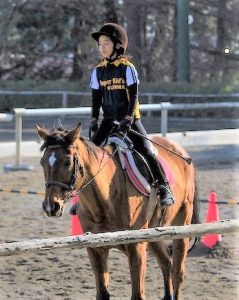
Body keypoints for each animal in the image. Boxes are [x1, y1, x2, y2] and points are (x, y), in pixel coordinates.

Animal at [36, 122, 200, 300]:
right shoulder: (95, 249)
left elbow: (137, 294)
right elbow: (103, 293)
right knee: (166, 262)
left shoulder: (136, 246)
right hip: (154, 233)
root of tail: (182, 153)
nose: (51, 206)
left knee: (177, 272)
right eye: (42, 162)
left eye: (67, 162)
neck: (105, 202)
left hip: (181, 225)